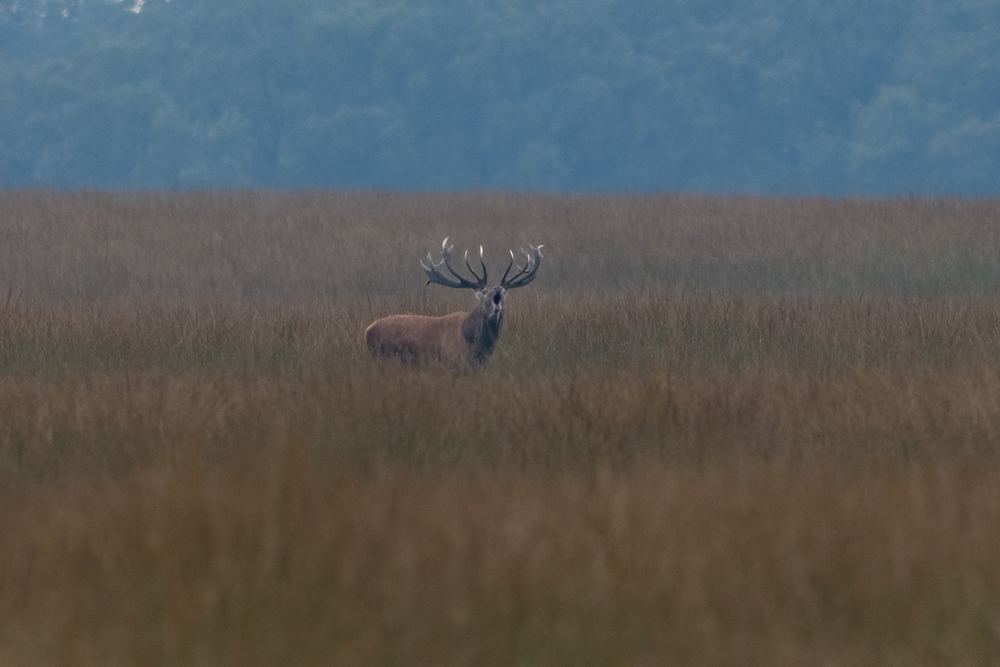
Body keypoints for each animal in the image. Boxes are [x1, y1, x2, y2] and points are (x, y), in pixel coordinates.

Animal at [365, 237, 544, 369]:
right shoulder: (452, 362)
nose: (497, 292)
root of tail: (367, 331)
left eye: (505, 292)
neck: (478, 347)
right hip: (382, 358)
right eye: (484, 292)